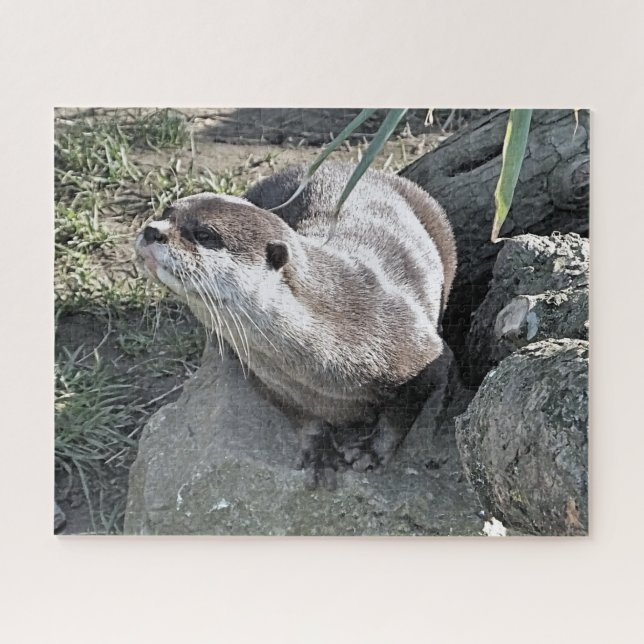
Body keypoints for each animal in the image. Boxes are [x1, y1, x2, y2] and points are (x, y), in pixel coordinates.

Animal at [135, 163, 456, 489]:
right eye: (167, 211)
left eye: (203, 233)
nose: (152, 230)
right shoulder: (266, 379)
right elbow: (302, 417)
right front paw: (319, 452)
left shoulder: (421, 350)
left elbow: (404, 410)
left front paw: (371, 450)